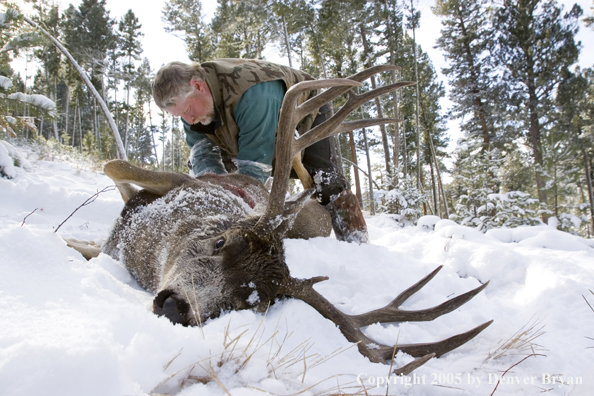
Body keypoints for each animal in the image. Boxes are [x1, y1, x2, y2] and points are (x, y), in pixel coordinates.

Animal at [67, 65, 490, 374]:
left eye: (251, 300)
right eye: (221, 242)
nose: (176, 307)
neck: (142, 252)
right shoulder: (177, 182)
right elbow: (111, 165)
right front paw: (76, 242)